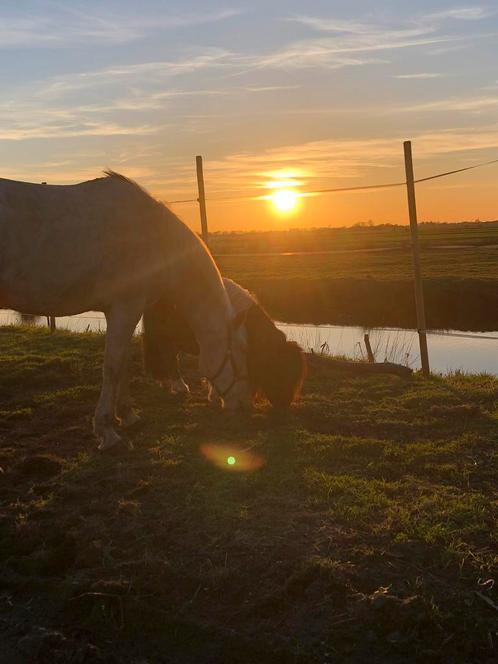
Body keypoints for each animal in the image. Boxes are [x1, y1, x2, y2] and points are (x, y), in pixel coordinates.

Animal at [0, 172, 251, 452]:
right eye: (241, 351)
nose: (244, 405)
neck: (154, 236)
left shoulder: (124, 312)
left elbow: (122, 364)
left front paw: (128, 415)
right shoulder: (125, 309)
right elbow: (112, 367)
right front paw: (107, 432)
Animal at [140, 278, 304, 408]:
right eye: (279, 371)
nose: (284, 405)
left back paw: (164, 380)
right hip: (163, 334)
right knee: (168, 355)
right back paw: (179, 386)